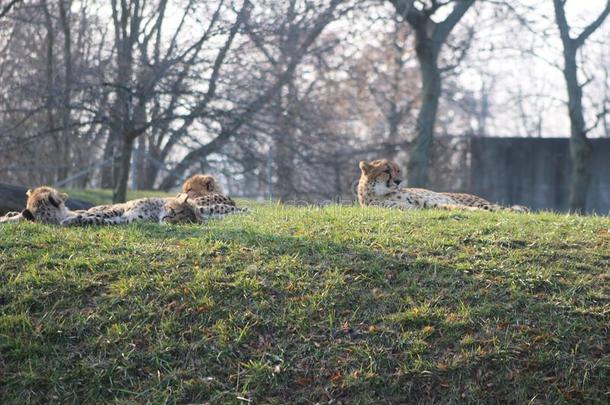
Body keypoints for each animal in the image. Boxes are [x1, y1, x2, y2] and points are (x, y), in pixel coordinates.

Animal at [356, 159, 528, 213]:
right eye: (386, 171)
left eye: (398, 170)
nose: (399, 181)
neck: (381, 192)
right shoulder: (410, 208)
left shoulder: (425, 203)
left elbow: (451, 206)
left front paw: (471, 211)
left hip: (485, 203)